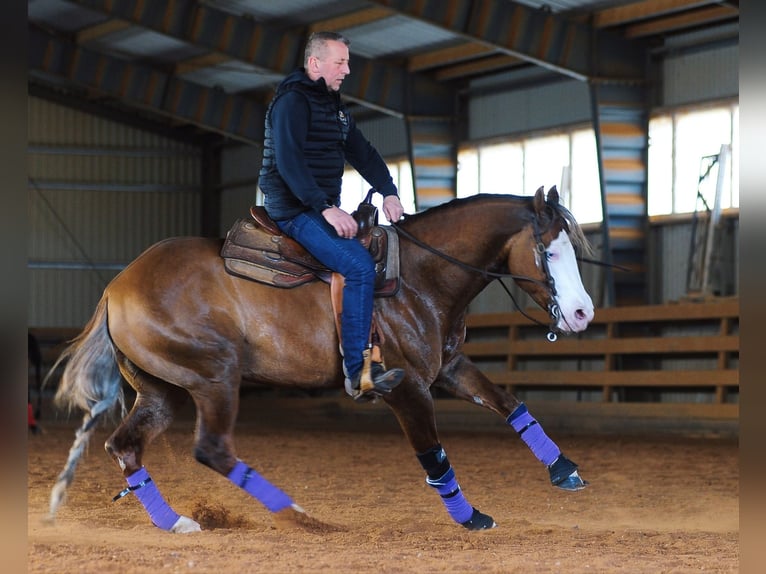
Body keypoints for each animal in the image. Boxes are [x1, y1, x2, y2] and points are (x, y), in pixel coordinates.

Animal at [47, 186, 594, 533]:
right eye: (550, 251)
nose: (583, 313)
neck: (418, 275)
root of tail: (117, 287)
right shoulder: (406, 387)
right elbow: (434, 454)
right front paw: (470, 517)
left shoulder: (448, 367)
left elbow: (509, 404)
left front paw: (563, 469)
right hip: (214, 377)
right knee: (212, 450)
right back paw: (301, 516)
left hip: (161, 391)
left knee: (125, 447)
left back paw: (177, 521)